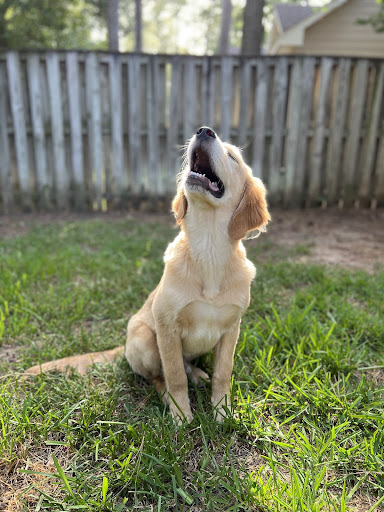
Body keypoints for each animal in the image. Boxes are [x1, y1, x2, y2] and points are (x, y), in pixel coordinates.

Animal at [25, 127, 270, 424]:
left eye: (232, 156)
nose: (204, 131)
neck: (209, 249)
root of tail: (123, 346)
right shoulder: (167, 328)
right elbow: (175, 376)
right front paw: (181, 414)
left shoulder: (231, 329)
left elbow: (223, 375)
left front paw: (222, 412)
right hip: (144, 339)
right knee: (158, 377)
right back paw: (167, 396)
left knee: (188, 366)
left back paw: (198, 374)